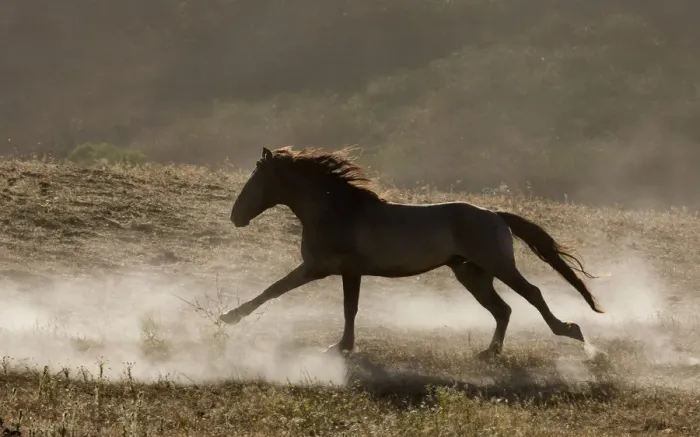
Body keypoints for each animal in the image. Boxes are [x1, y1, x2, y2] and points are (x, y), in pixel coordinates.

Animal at [219, 146, 605, 358]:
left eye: (256, 181)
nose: (236, 216)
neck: (337, 211)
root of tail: (495, 215)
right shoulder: (340, 271)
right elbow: (341, 306)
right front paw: (343, 346)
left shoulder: (322, 268)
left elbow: (277, 291)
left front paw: (227, 318)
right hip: (471, 273)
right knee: (503, 309)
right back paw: (489, 353)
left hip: (496, 265)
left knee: (532, 294)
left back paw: (571, 332)